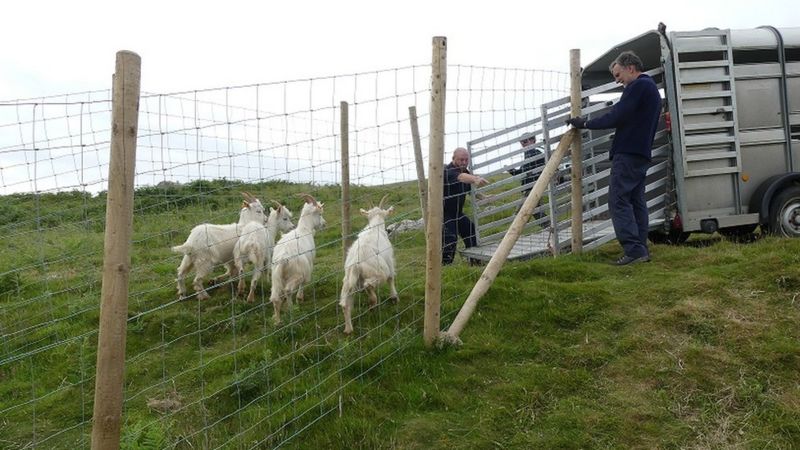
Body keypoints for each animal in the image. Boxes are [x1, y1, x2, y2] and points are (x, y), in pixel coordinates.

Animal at [270, 192, 326, 324]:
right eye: (320, 214)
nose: (324, 224)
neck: (304, 230)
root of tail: (282, 258)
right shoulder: (308, 266)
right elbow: (304, 283)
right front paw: (300, 298)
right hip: (297, 273)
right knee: (288, 290)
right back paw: (291, 309)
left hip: (275, 276)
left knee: (275, 296)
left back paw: (277, 319)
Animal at [340, 196, 398, 334]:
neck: (375, 228)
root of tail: (356, 263)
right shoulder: (389, 259)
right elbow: (391, 278)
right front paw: (394, 297)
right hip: (379, 271)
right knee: (369, 284)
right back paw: (373, 304)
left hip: (348, 280)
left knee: (345, 304)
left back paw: (348, 329)